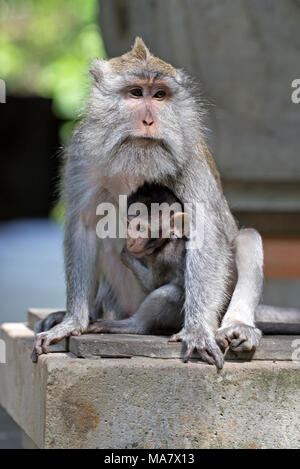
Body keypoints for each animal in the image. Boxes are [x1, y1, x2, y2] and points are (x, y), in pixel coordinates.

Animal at [87, 182, 190, 336]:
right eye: (128, 224)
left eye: (140, 227)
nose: (130, 241)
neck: (168, 240)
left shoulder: (162, 259)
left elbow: (152, 286)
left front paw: (126, 255)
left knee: (170, 293)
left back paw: (130, 325)